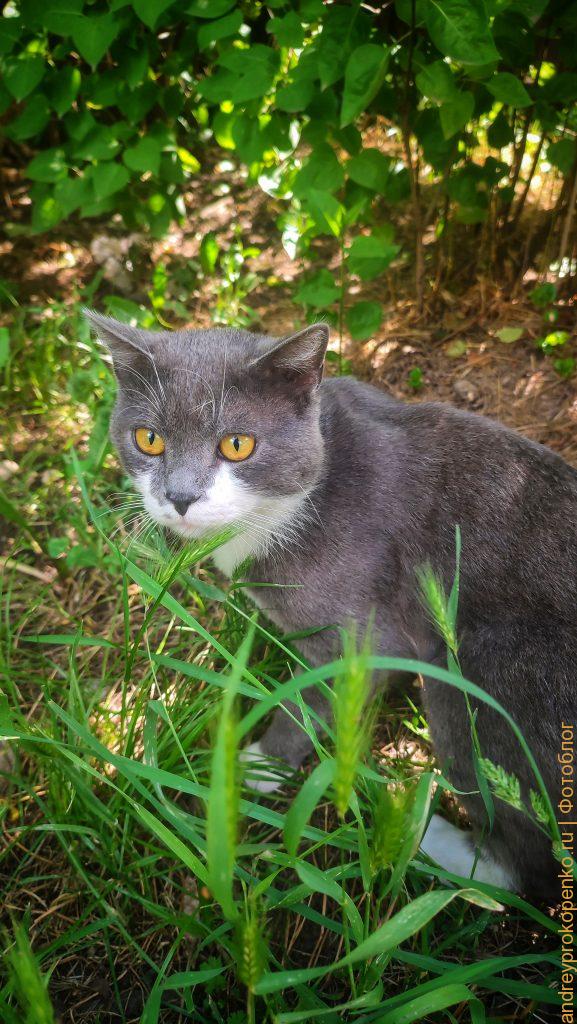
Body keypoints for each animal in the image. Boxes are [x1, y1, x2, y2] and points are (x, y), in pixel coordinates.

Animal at [87, 311, 577, 905]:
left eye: (237, 444)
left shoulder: (360, 631)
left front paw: (257, 765)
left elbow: (313, 698)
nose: (180, 497)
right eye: (148, 438)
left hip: (477, 683)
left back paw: (418, 831)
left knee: (526, 865)